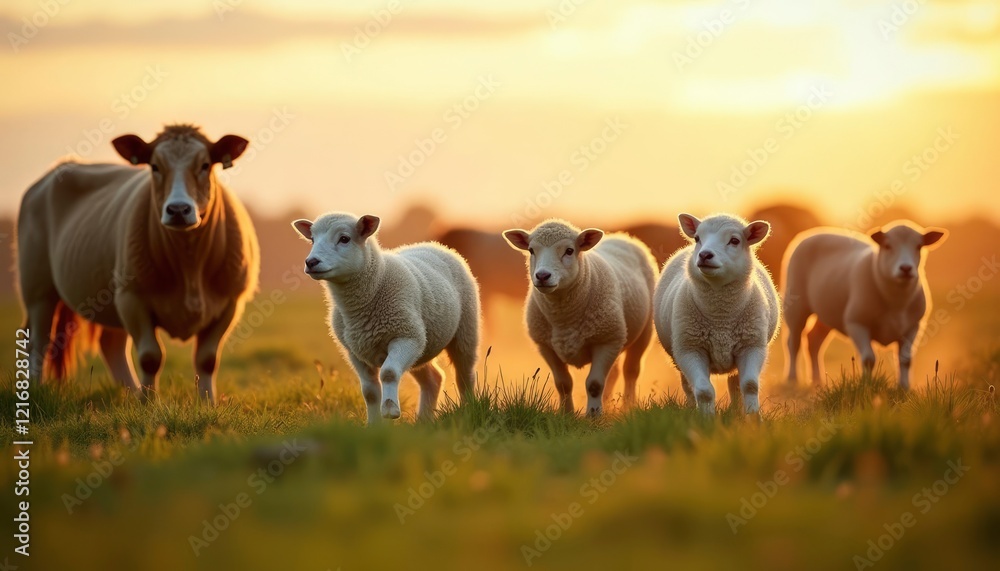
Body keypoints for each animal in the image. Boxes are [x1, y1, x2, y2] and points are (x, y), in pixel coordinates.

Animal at [292, 212, 481, 425]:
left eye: (344, 239)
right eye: (312, 240)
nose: (311, 262)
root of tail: (435, 245)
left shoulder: (405, 337)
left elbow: (389, 373)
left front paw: (390, 410)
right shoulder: (355, 351)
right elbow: (370, 391)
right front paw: (374, 425)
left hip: (464, 331)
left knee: (465, 375)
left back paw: (468, 410)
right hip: (422, 346)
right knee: (434, 378)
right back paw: (423, 420)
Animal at [503, 219, 657, 417]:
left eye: (569, 250)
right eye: (531, 250)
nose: (542, 276)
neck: (564, 319)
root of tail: (622, 236)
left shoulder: (607, 341)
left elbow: (594, 384)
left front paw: (593, 415)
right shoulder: (546, 346)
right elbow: (563, 384)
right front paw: (567, 414)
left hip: (643, 332)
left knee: (631, 371)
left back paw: (627, 406)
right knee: (613, 373)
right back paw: (608, 403)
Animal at [653, 213, 780, 415]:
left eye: (734, 240)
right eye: (697, 238)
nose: (704, 254)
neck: (721, 319)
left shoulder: (752, 346)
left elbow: (750, 385)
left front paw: (753, 418)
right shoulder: (690, 349)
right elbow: (704, 391)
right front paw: (707, 420)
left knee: (735, 384)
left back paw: (737, 412)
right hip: (679, 354)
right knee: (688, 387)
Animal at [781, 221, 947, 389]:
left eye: (919, 246)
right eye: (887, 246)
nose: (906, 268)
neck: (896, 302)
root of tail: (814, 232)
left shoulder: (912, 327)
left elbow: (905, 360)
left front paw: (904, 388)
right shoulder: (856, 323)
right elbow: (868, 358)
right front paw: (866, 386)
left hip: (826, 311)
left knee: (814, 341)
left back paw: (817, 380)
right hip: (796, 306)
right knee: (793, 342)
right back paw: (792, 378)